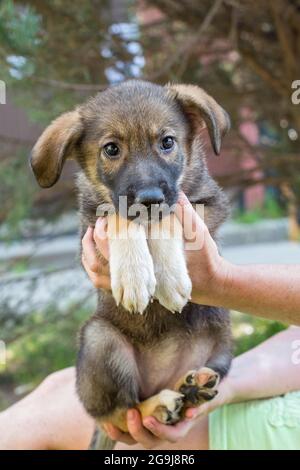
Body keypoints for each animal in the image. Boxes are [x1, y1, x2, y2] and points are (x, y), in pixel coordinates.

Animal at [30, 81, 232, 444]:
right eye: (111, 149)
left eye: (167, 142)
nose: (150, 199)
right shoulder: (88, 230)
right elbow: (117, 215)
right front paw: (134, 276)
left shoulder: (208, 205)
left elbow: (170, 217)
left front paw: (168, 276)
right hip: (100, 340)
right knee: (123, 412)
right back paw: (162, 404)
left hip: (221, 341)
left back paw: (192, 388)